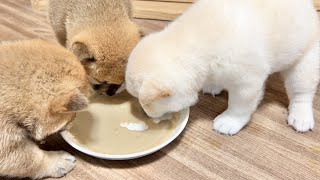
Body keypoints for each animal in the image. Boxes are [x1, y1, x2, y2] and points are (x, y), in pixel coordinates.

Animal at [125, 0, 320, 135]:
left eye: (145, 104)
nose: (146, 115)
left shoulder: (246, 83)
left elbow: (239, 105)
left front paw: (229, 121)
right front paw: (213, 85)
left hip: (305, 61)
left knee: (301, 92)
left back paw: (301, 116)